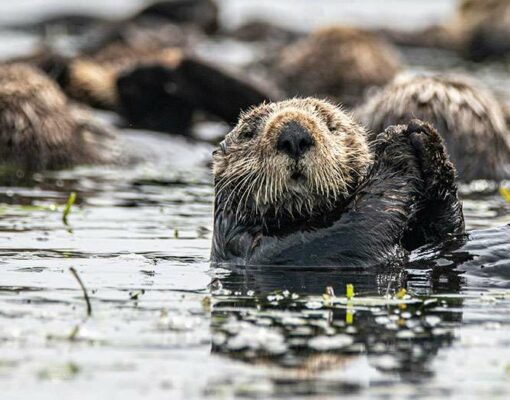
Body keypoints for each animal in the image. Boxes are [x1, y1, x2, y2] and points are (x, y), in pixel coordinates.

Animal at [209, 97, 464, 268]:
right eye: (248, 133)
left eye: (331, 125)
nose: (294, 135)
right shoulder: (270, 250)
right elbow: (356, 227)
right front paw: (394, 145)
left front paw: (426, 140)